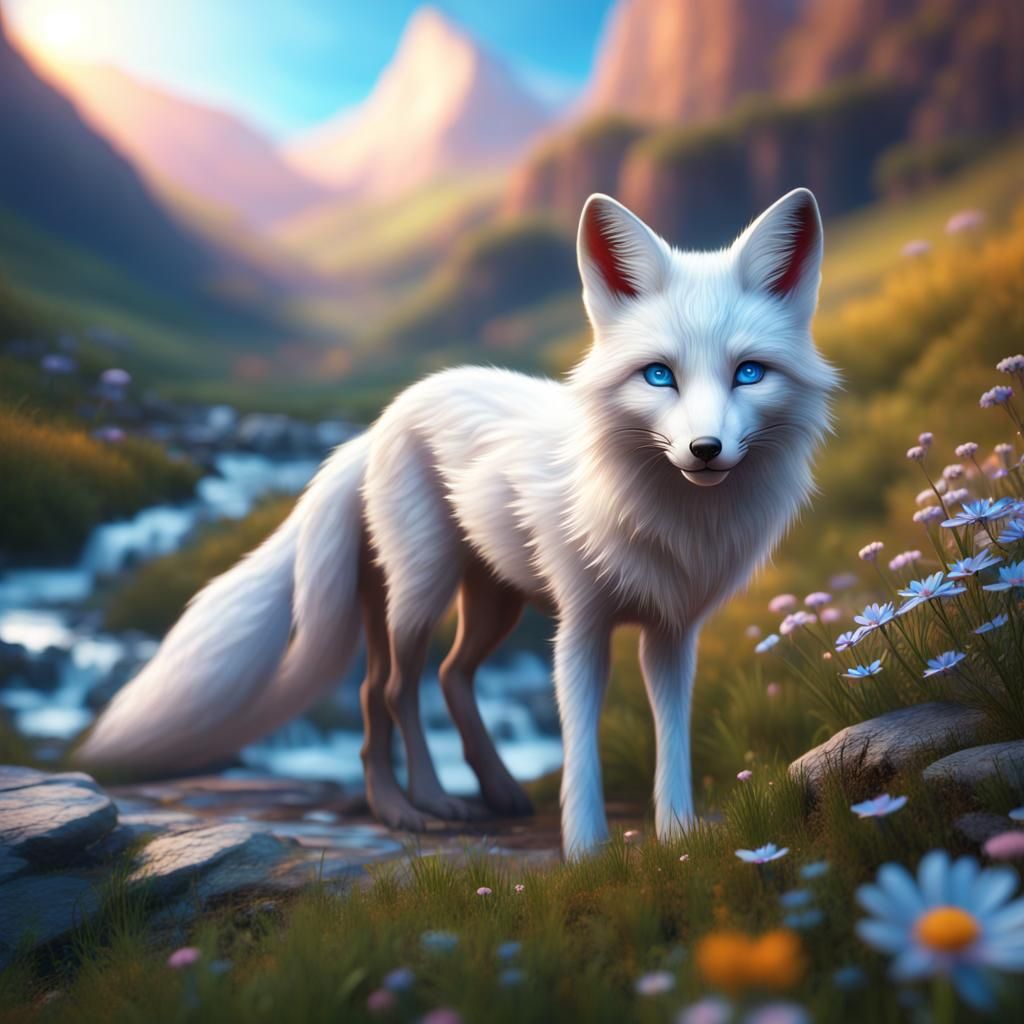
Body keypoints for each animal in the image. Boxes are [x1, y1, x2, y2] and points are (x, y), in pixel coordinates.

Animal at [78, 188, 838, 857]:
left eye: (748, 374)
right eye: (659, 376)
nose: (705, 450)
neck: (672, 523)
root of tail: (379, 425)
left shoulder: (672, 632)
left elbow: (672, 736)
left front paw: (678, 838)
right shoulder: (581, 626)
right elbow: (580, 744)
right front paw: (585, 852)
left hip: (491, 601)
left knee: (445, 677)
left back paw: (489, 791)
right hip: (422, 592)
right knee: (389, 689)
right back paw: (415, 806)